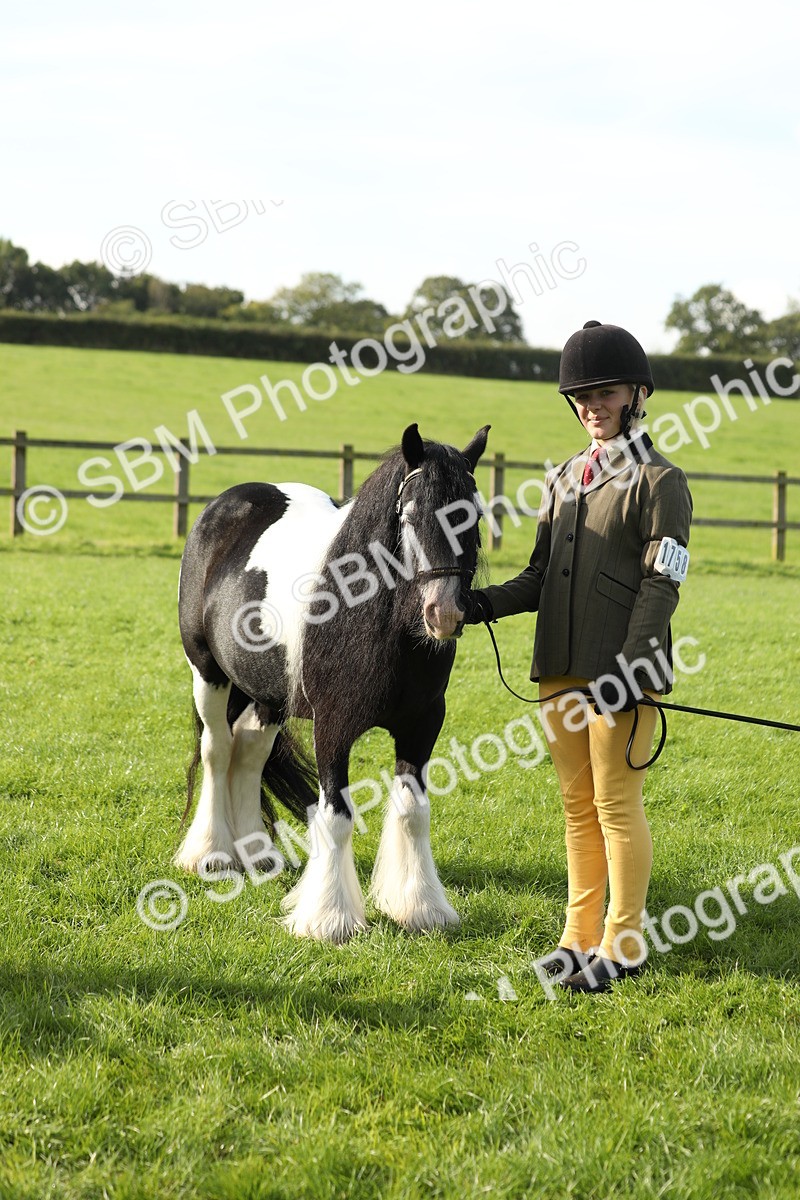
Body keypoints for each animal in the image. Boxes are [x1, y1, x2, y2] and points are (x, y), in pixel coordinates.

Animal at [175, 422, 490, 943]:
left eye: (475, 516)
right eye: (408, 515)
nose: (443, 613)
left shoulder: (422, 725)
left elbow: (414, 811)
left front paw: (419, 908)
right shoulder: (333, 727)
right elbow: (337, 816)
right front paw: (329, 919)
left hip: (269, 693)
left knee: (249, 752)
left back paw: (256, 853)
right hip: (209, 674)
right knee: (217, 750)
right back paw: (212, 855)